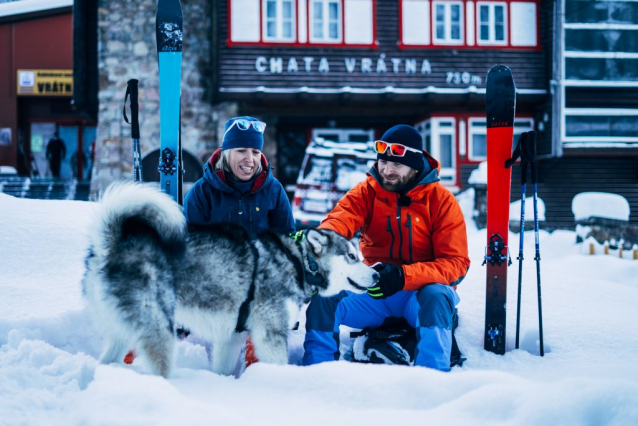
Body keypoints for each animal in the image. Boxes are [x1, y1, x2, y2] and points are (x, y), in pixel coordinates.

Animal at [82, 182, 378, 376]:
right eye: (352, 256)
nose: (377, 273)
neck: (299, 262)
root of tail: (112, 242)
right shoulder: (269, 334)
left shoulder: (231, 338)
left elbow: (223, 369)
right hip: (159, 330)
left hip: (123, 332)